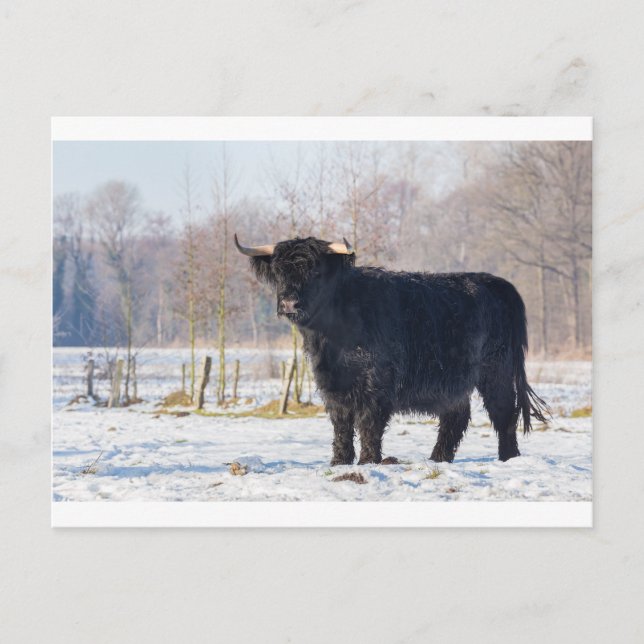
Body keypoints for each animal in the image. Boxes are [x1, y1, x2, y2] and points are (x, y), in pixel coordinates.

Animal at [234, 234, 549, 465]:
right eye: (278, 271)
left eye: (315, 270)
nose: (289, 303)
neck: (333, 337)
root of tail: (496, 283)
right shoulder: (331, 382)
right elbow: (341, 424)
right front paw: (339, 462)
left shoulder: (378, 382)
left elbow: (368, 423)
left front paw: (368, 461)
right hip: (454, 381)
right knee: (456, 416)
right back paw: (437, 459)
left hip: (496, 370)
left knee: (504, 411)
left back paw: (508, 458)